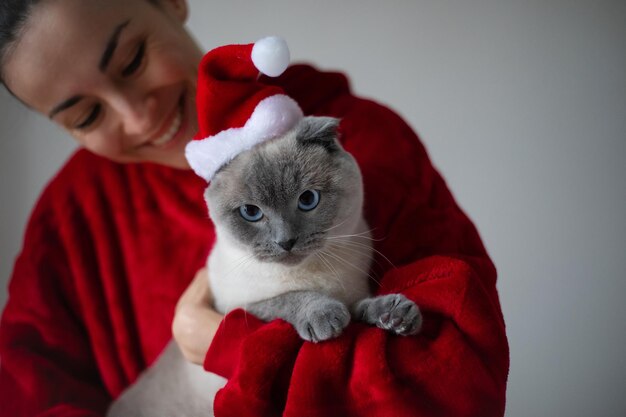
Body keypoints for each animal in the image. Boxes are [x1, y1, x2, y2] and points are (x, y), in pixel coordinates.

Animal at [107, 116, 420, 416]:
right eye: (251, 212)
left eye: (308, 199)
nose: (286, 242)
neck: (314, 274)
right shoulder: (238, 307)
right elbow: (289, 299)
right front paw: (324, 315)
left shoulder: (353, 294)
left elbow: (362, 308)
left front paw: (397, 315)